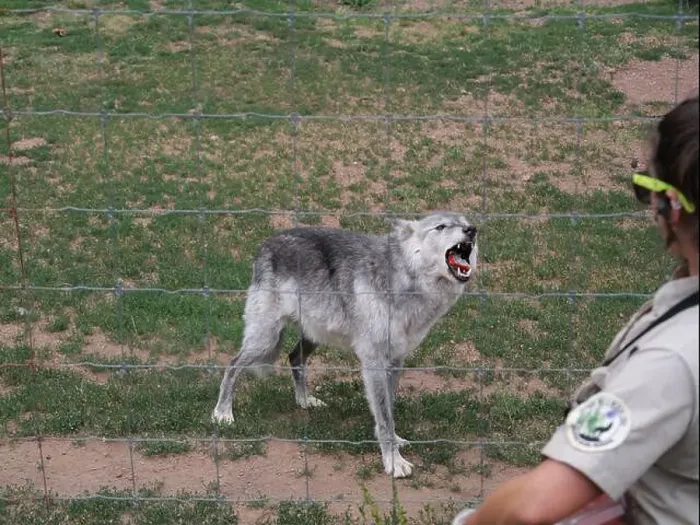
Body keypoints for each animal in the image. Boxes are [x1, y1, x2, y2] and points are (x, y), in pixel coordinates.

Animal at [212, 211, 479, 478]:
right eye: (441, 226)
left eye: (465, 223)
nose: (472, 231)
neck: (405, 283)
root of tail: (267, 242)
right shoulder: (374, 362)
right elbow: (384, 415)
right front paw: (394, 462)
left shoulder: (396, 361)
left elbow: (389, 409)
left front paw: (395, 440)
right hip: (265, 339)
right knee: (232, 365)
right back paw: (222, 413)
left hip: (312, 335)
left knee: (294, 358)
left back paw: (305, 401)